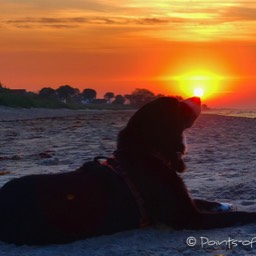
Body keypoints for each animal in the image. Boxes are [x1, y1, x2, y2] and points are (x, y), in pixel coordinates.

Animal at [0, 97, 256, 245]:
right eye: (176, 104)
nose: (198, 96)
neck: (148, 152)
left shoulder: (183, 200)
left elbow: (203, 200)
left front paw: (222, 203)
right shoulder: (186, 217)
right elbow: (238, 215)